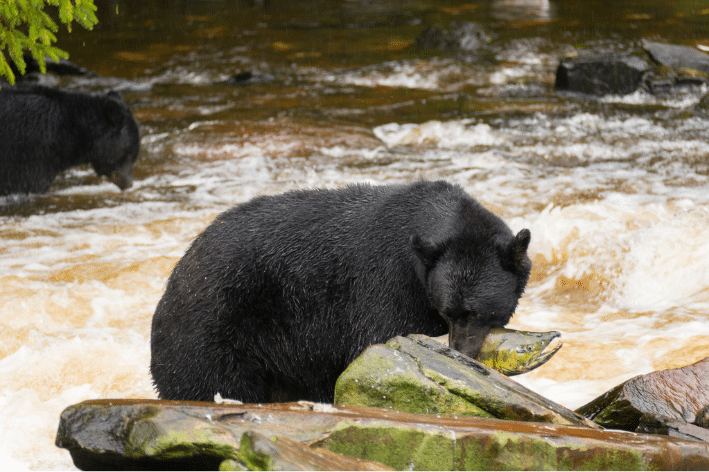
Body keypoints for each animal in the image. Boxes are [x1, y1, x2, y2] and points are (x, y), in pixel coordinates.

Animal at [149, 180, 532, 402]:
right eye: (448, 310)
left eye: (475, 312)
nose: (460, 352)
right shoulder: (386, 282)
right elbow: (379, 339)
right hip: (211, 326)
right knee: (206, 381)